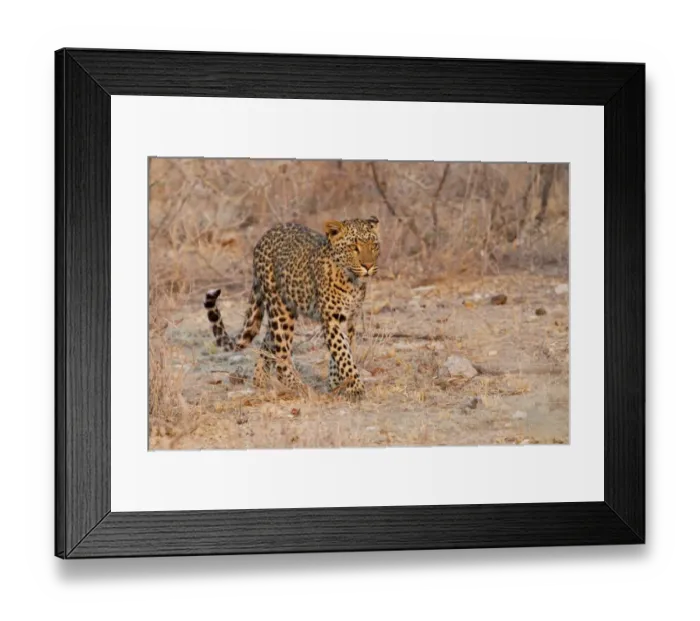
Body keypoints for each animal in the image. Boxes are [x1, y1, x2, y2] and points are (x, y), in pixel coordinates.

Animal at [203, 217, 381, 400]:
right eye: (354, 247)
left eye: (374, 245)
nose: (368, 266)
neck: (353, 282)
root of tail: (263, 237)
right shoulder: (331, 319)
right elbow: (343, 354)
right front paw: (355, 388)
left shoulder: (349, 318)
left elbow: (341, 353)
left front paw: (336, 384)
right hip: (280, 309)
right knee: (281, 358)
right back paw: (299, 387)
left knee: (267, 343)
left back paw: (260, 382)